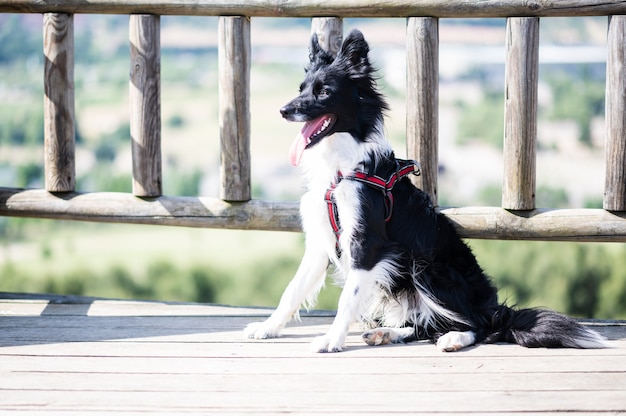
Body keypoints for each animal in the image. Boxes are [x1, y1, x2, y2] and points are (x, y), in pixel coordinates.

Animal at [244, 29, 604, 352]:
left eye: (324, 92)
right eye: (301, 88)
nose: (283, 110)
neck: (340, 167)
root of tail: (495, 307)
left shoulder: (367, 242)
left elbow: (347, 299)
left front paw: (330, 340)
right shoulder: (321, 242)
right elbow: (292, 289)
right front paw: (267, 327)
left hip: (428, 266)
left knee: (480, 325)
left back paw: (454, 338)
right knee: (424, 325)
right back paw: (387, 333)